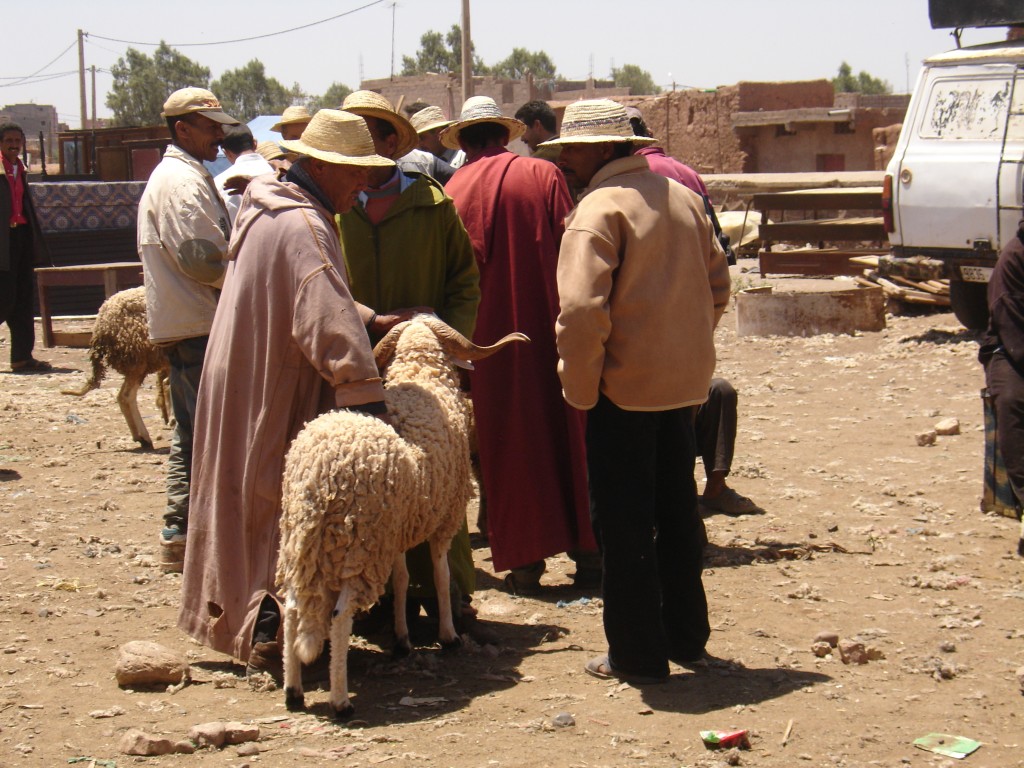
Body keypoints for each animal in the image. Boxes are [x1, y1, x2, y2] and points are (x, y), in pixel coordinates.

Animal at [60, 286, 169, 448]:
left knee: (123, 396)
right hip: (137, 361)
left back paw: (140, 436)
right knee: (126, 396)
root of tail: (101, 324)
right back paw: (144, 437)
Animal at [274, 313, 528, 720]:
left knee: (295, 608)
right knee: (339, 616)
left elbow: (404, 579)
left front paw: (403, 638)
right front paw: (448, 635)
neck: (422, 376)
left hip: (302, 540)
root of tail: (321, 467)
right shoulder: (444, 518)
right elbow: (440, 577)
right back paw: (341, 700)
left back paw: (293, 691)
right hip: (359, 543)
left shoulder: (398, 526)